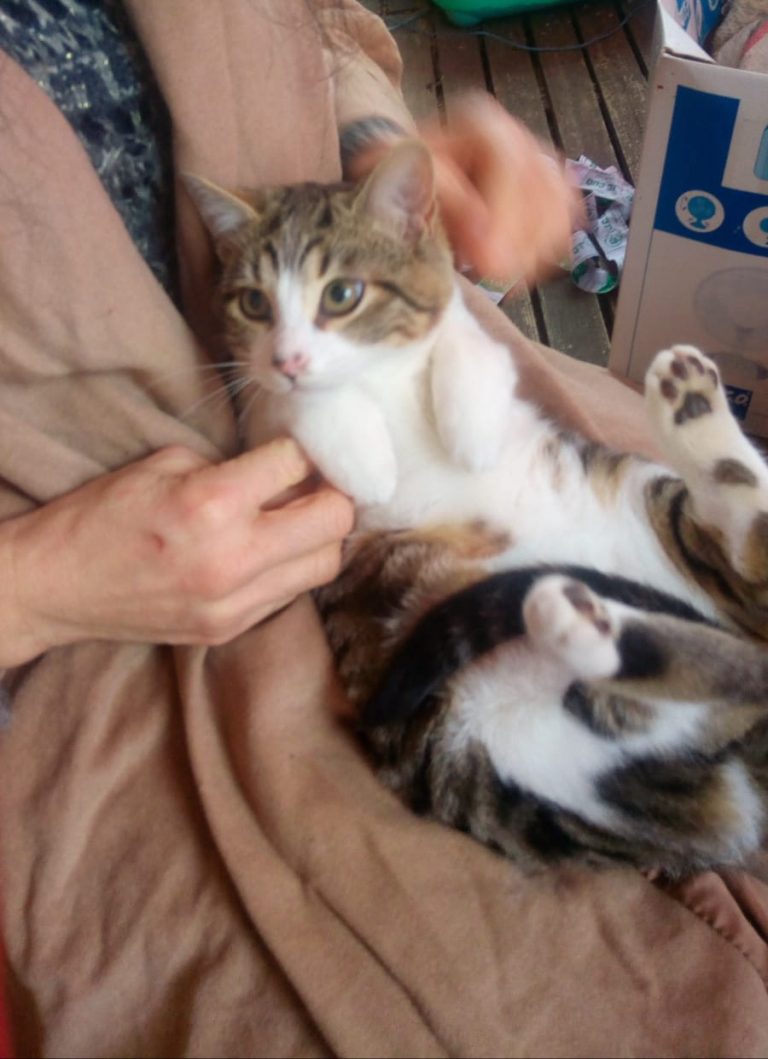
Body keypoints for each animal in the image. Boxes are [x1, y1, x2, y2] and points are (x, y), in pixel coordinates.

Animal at [187, 141, 768, 878]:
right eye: (254, 303)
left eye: (342, 294)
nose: (289, 358)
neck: (379, 375)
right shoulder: (258, 427)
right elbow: (277, 403)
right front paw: (363, 454)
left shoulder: (470, 328)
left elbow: (470, 341)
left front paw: (471, 429)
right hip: (505, 760)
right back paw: (580, 618)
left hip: (647, 502)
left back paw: (692, 411)